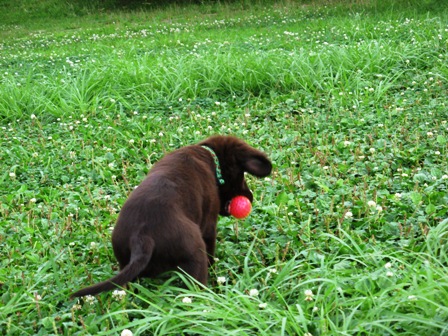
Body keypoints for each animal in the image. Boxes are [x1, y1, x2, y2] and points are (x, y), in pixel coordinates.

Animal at [72, 134, 272, 296]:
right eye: (242, 175)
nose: (250, 198)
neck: (209, 156)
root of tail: (141, 237)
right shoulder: (209, 226)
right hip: (195, 255)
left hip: (124, 262)